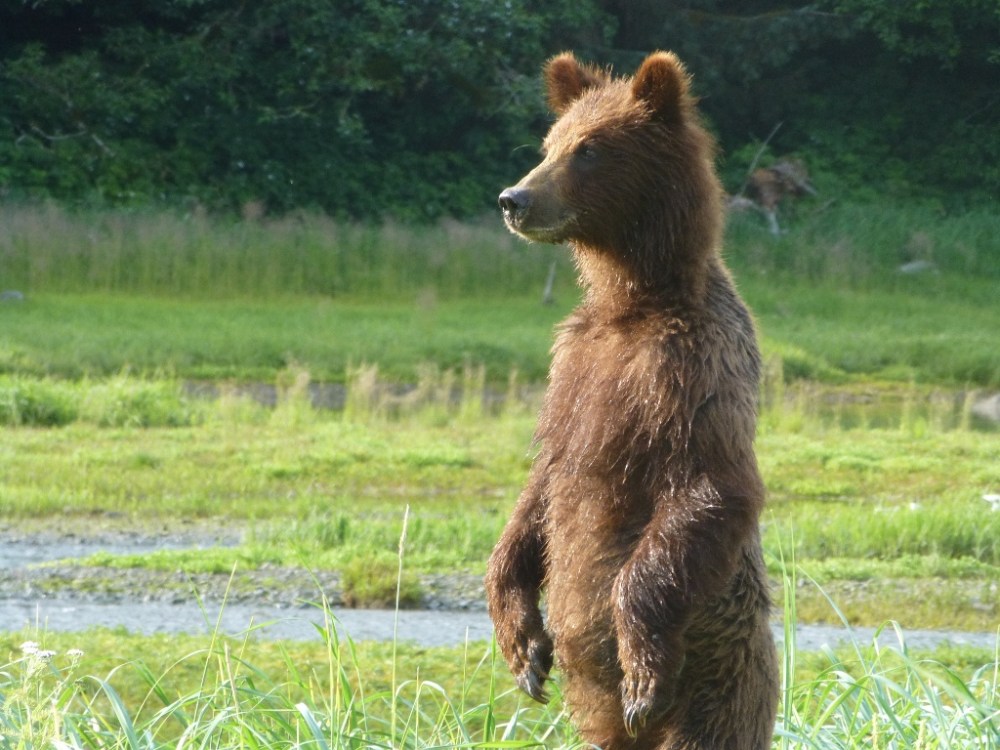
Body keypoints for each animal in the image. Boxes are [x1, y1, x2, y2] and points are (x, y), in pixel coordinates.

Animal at [484, 53, 780, 750]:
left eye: (589, 150)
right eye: (550, 143)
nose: (515, 199)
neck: (633, 301)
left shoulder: (690, 366)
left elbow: (711, 485)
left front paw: (640, 674)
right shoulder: (573, 367)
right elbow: (544, 484)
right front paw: (524, 649)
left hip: (718, 681)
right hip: (603, 722)